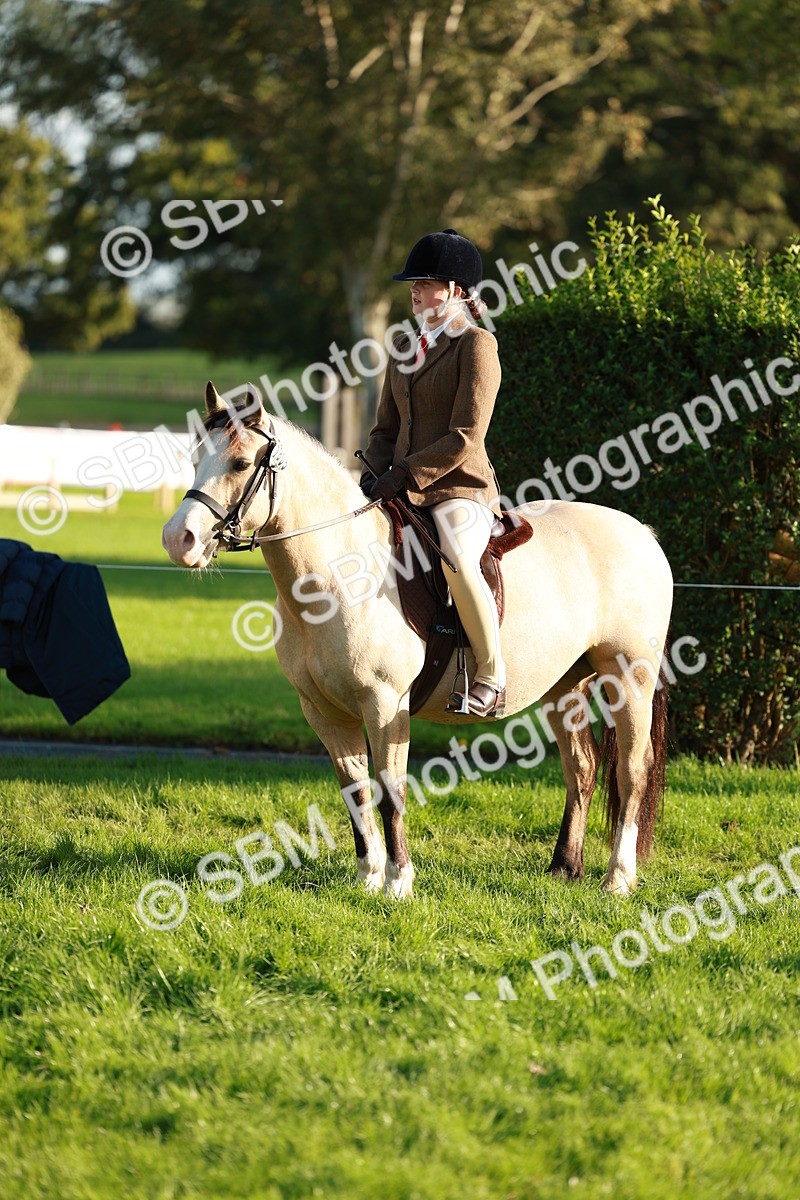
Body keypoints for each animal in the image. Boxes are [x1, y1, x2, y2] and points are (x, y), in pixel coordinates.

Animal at [162, 383, 673, 899]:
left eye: (240, 463)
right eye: (195, 458)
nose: (177, 539)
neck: (336, 573)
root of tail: (642, 532)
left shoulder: (385, 704)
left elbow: (390, 790)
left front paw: (398, 882)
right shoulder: (324, 712)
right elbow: (355, 791)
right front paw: (368, 877)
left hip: (629, 678)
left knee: (632, 770)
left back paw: (618, 878)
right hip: (564, 687)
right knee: (582, 769)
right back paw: (564, 868)